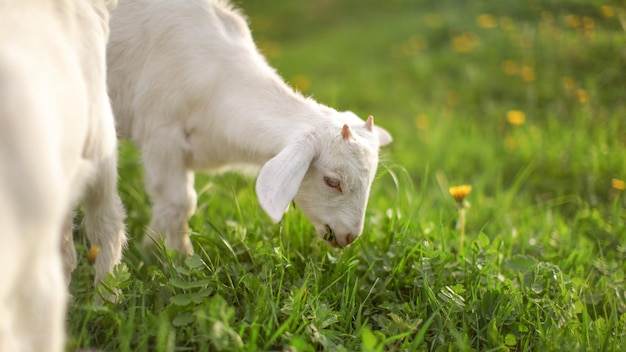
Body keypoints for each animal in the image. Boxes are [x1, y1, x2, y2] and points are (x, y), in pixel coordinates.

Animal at [107, 0, 390, 253]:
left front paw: (156, 249)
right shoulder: (162, 131)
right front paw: (172, 257)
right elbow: (179, 203)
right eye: (332, 181)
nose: (350, 236)